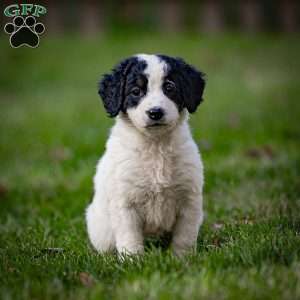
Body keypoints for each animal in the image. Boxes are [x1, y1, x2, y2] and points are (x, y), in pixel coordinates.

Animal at [85, 53, 205, 255]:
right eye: (136, 91)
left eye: (169, 87)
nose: (155, 112)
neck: (156, 147)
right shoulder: (125, 202)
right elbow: (130, 239)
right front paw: (133, 260)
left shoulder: (190, 199)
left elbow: (185, 236)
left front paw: (182, 258)